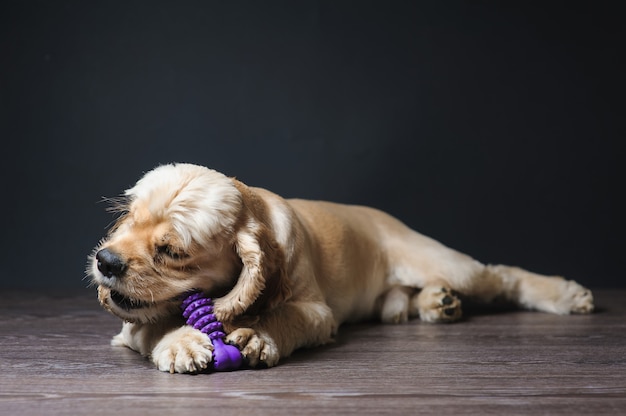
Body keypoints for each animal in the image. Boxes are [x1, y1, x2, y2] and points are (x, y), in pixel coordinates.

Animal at [88, 163, 588, 374]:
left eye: (171, 251)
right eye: (127, 218)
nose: (105, 261)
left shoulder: (315, 312)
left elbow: (282, 316)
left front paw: (256, 335)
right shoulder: (128, 323)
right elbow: (152, 323)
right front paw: (181, 342)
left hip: (446, 261)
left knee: (502, 275)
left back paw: (565, 294)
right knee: (408, 298)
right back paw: (436, 303)